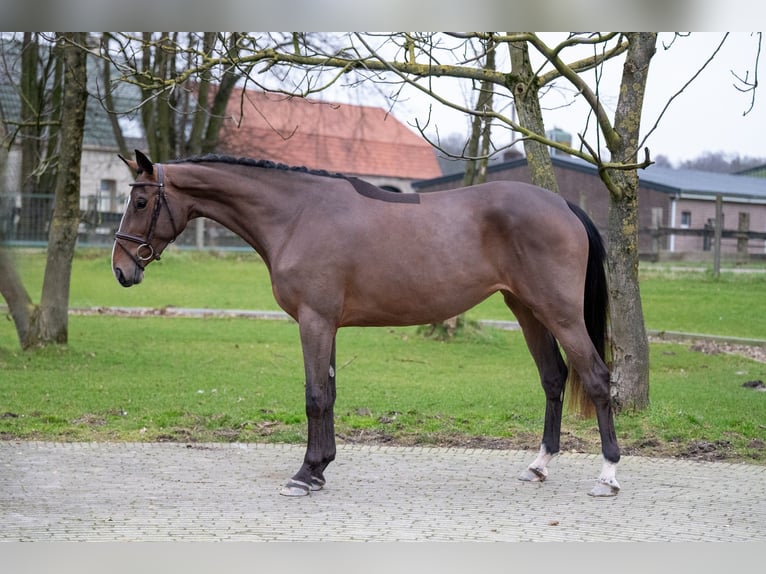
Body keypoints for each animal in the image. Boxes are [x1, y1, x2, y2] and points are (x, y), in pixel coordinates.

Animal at [111, 152, 620, 500]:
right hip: (526, 309)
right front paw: (320, 469)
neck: (297, 215)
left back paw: (608, 475)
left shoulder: (314, 321)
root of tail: (564, 206)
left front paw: (303, 475)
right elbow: (330, 394)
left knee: (596, 378)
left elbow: (315, 397)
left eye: (141, 200)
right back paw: (539, 465)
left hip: (560, 313)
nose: (121, 269)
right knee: (553, 378)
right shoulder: (328, 324)